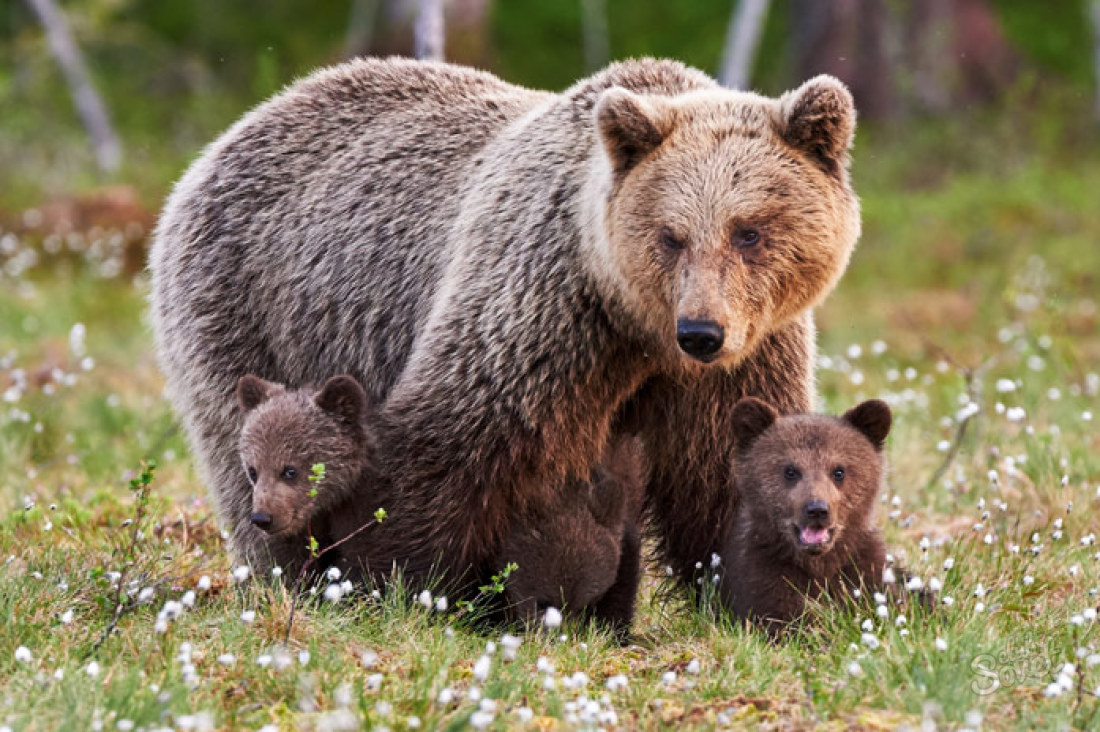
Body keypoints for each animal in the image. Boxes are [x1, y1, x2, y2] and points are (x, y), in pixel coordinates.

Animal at [152, 55, 858, 594]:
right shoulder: (540, 308)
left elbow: (729, 468)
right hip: (251, 308)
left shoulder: (742, 358)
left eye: (750, 231)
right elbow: (451, 444)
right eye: (670, 235)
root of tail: (237, 129)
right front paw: (404, 583)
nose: (702, 332)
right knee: (254, 445)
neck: (635, 328)